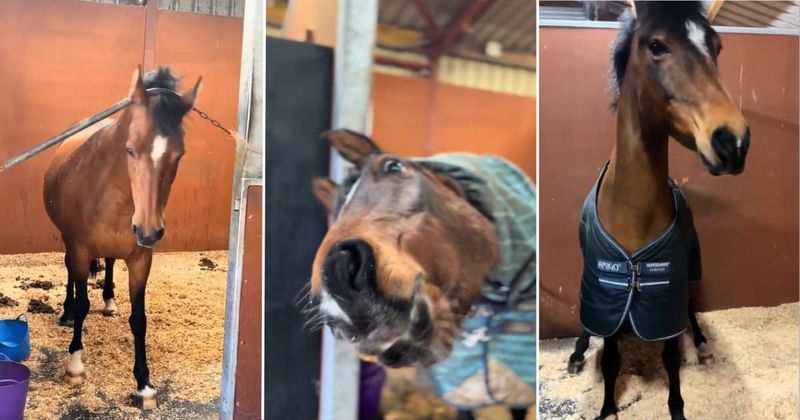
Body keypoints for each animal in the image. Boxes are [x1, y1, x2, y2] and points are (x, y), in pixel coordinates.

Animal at [43, 66, 201, 409]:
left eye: (178, 155)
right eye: (131, 150)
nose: (149, 230)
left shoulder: (141, 258)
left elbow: (139, 319)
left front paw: (144, 385)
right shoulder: (80, 248)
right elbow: (83, 302)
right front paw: (75, 366)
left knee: (110, 263)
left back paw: (110, 301)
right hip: (68, 241)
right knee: (70, 273)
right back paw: (66, 311)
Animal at [576, 3, 749, 419]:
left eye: (716, 46)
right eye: (657, 45)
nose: (733, 142)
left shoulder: (666, 294)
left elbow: (671, 356)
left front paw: (677, 407)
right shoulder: (607, 294)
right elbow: (610, 359)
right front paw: (607, 408)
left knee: (691, 311)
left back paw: (701, 344)